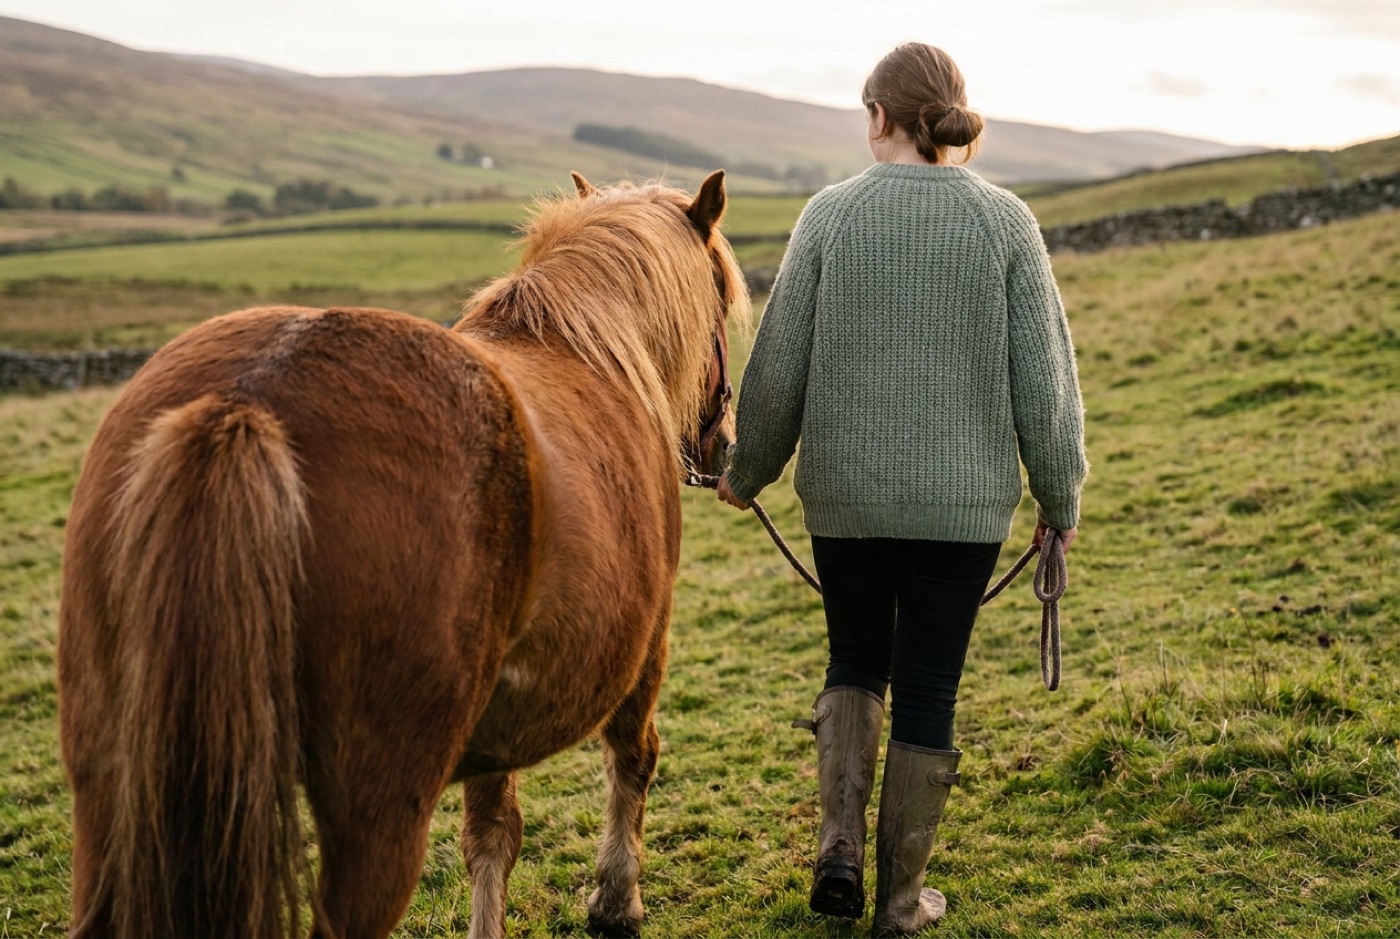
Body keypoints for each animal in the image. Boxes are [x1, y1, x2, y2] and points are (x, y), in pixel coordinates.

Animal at [57, 170, 750, 938]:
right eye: (721, 304)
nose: (723, 445)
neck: (592, 350)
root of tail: (242, 405)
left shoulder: (496, 717)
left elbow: (491, 836)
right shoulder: (645, 646)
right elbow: (633, 758)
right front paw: (616, 900)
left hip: (109, 796)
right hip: (377, 817)